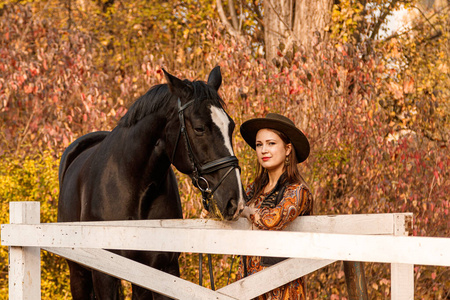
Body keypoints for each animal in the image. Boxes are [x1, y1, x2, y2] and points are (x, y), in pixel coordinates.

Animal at [58, 67, 246, 298]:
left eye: (231, 126)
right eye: (200, 128)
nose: (235, 201)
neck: (133, 187)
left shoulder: (162, 269)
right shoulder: (104, 276)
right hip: (79, 274)